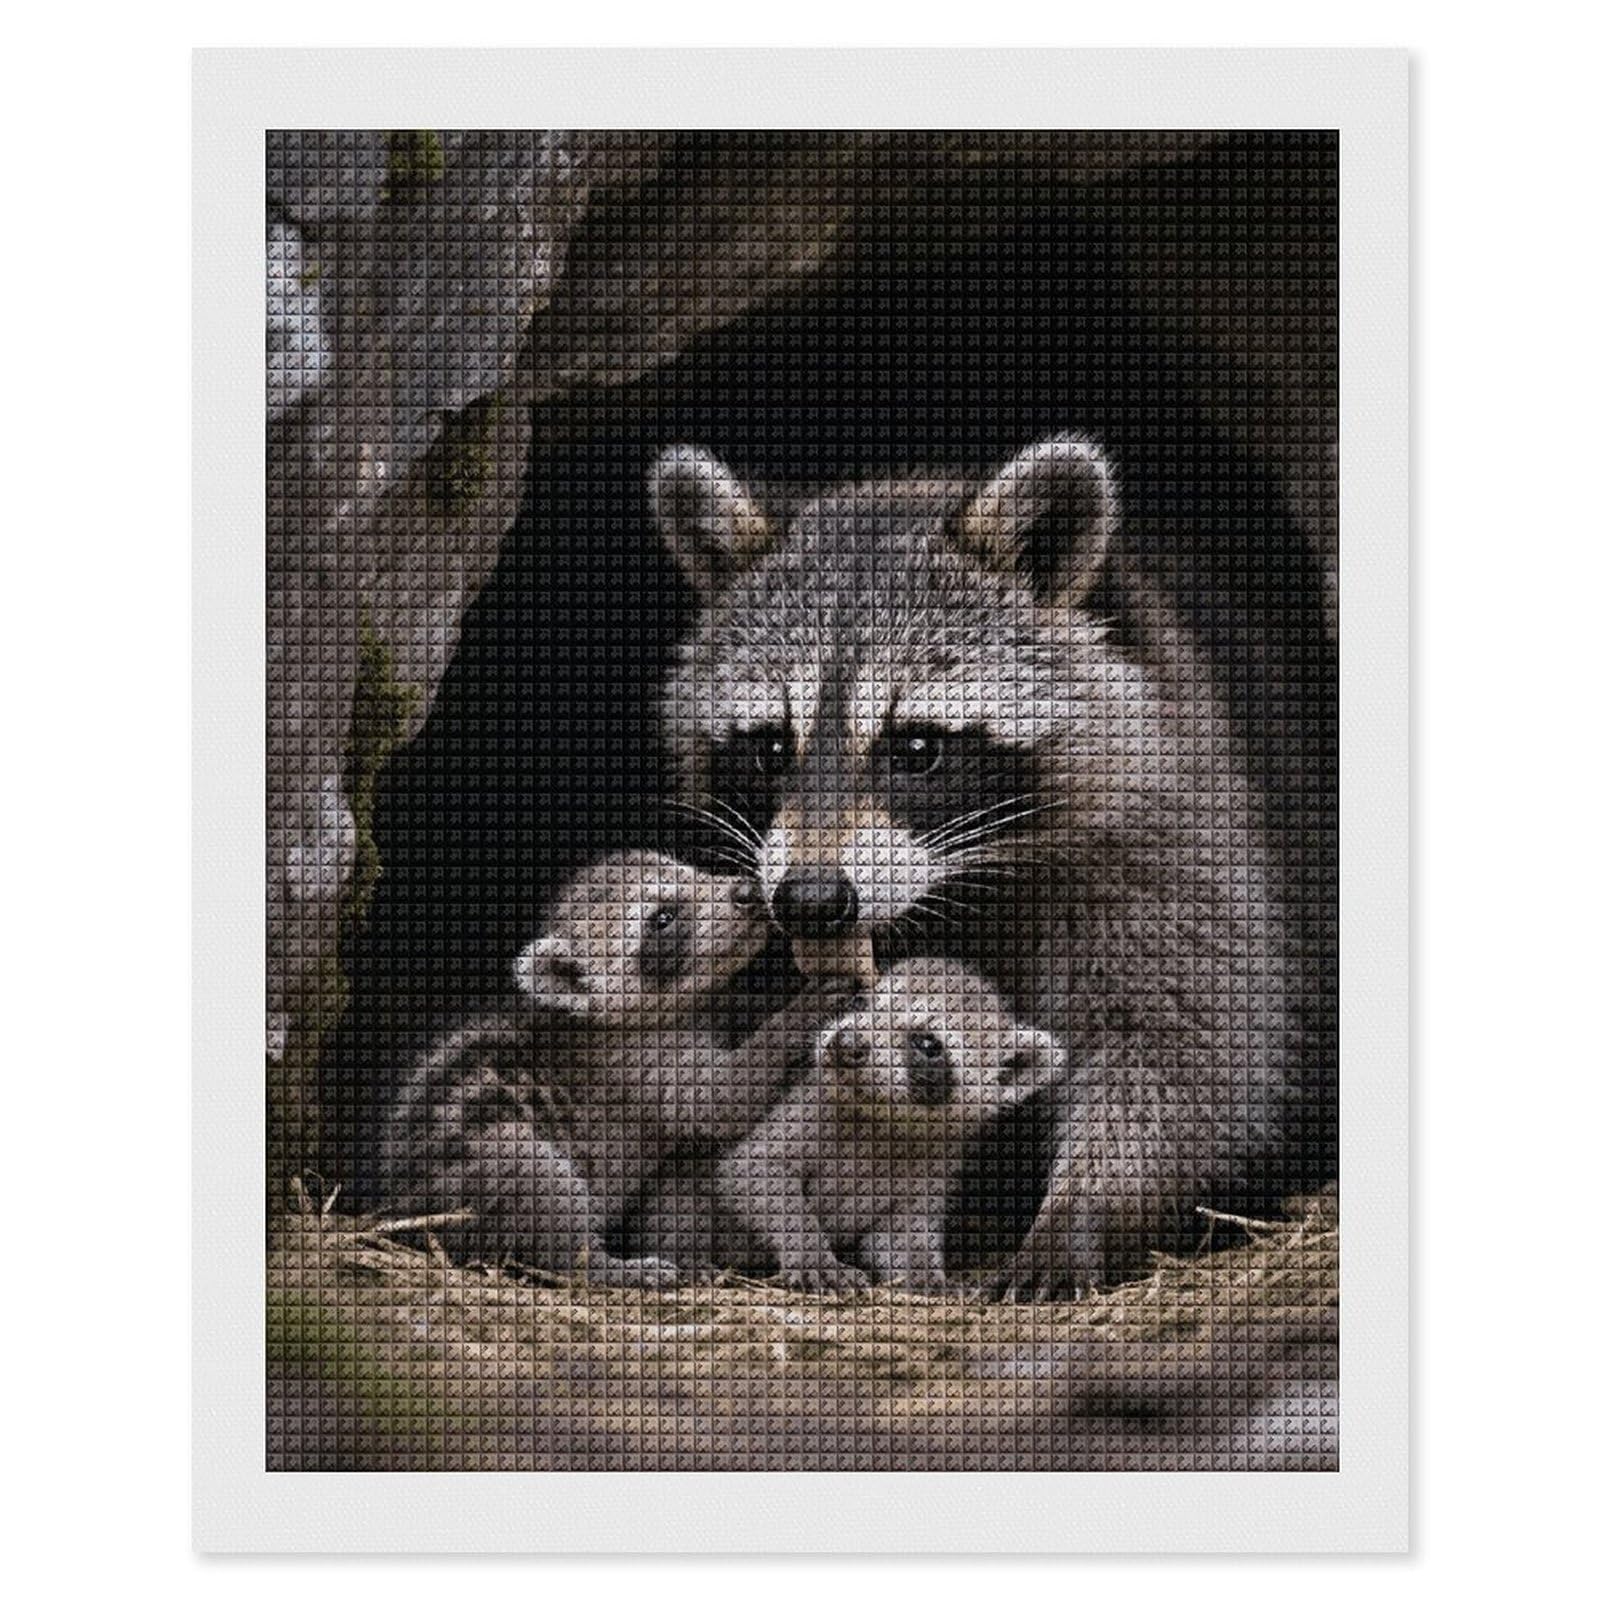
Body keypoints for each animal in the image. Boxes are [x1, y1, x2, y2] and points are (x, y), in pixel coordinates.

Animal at [380, 849, 841, 1286]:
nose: (747, 891)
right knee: (536, 1179)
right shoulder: (636, 1068)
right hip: (476, 1170)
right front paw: (794, 1018)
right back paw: (602, 1266)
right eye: (662, 918)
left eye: (694, 870)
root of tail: (400, 1212)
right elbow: (718, 1101)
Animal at [718, 958, 1067, 1294]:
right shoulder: (803, 1113)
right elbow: (755, 1169)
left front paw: (924, 1272)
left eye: (927, 1043)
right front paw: (810, 1251)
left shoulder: (931, 1173)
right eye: (860, 1002)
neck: (882, 1121)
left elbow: (901, 1235)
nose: (846, 1043)